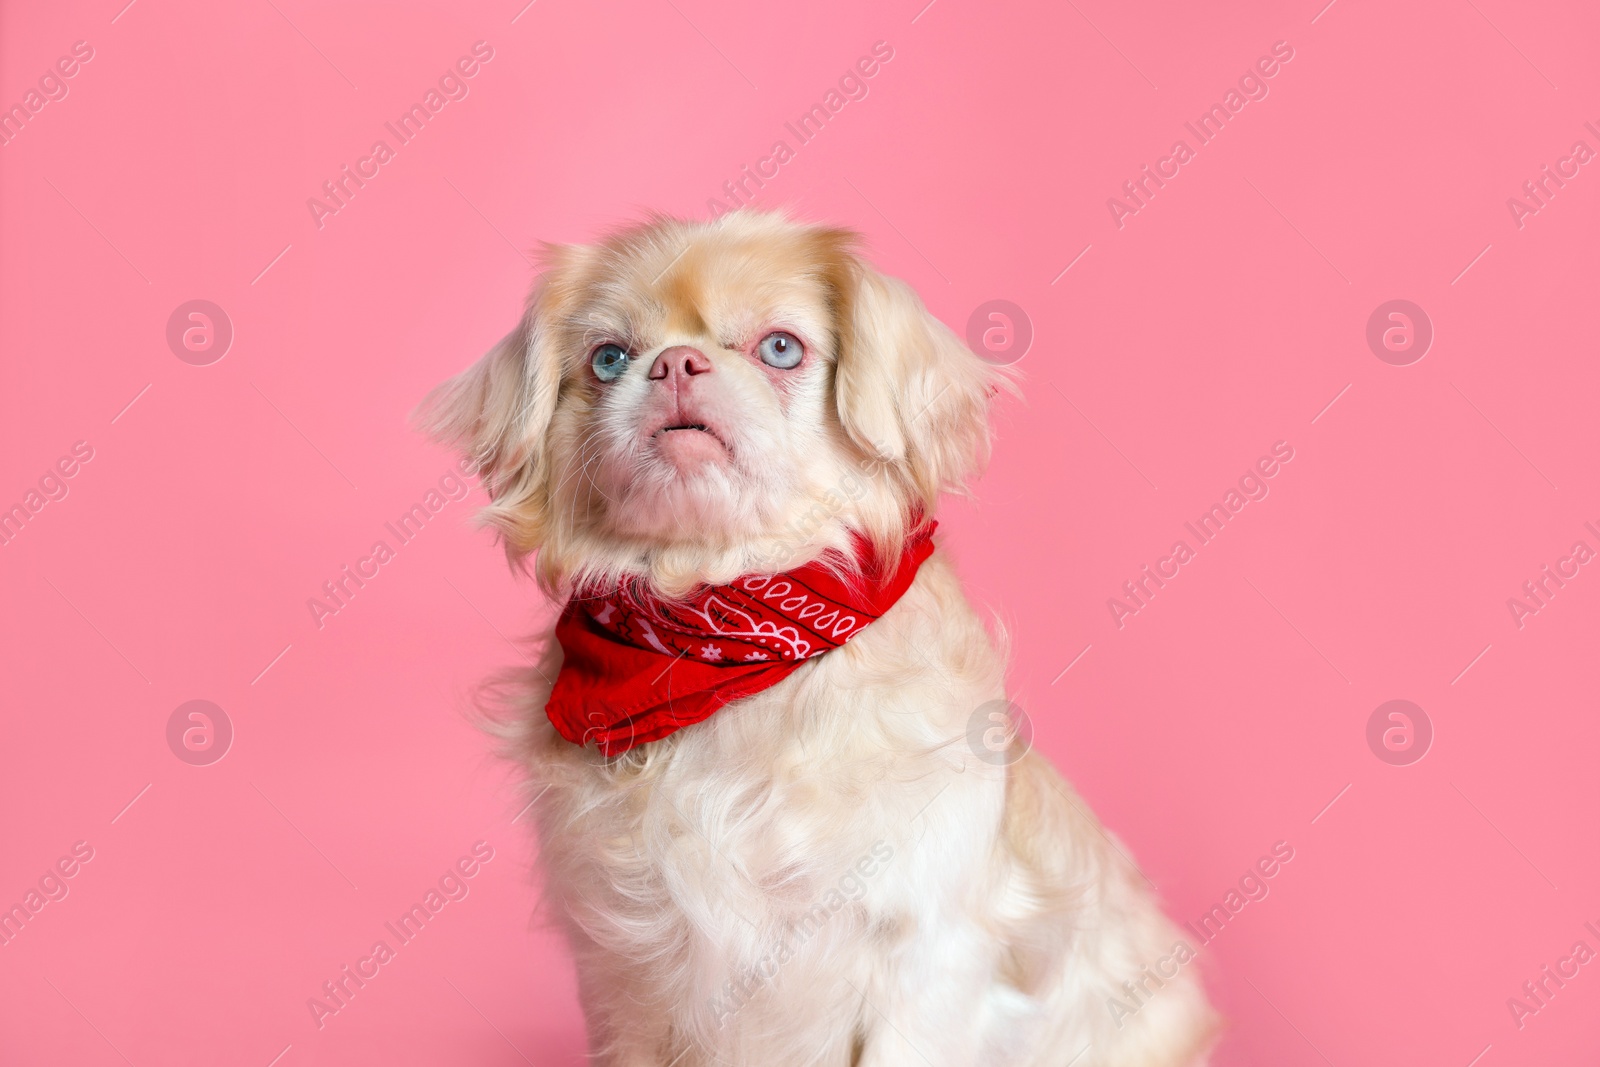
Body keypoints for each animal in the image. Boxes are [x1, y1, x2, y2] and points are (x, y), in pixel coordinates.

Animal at [419, 211, 1216, 1067]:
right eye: (608, 359)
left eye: (780, 348)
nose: (674, 362)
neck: (722, 634)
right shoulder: (627, 981)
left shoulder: (926, 958)